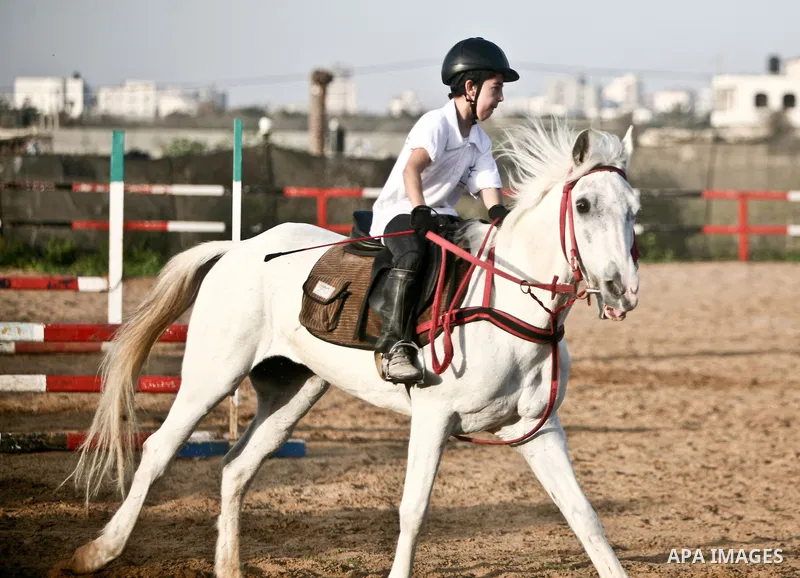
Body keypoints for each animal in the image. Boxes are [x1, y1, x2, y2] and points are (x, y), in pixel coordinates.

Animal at [67, 118, 641, 578]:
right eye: (583, 205)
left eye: (634, 210)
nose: (622, 291)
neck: (507, 303)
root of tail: (238, 249)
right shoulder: (433, 418)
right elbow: (413, 511)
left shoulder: (536, 430)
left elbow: (583, 514)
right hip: (212, 377)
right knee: (159, 450)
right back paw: (98, 551)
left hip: (291, 393)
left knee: (235, 467)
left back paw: (227, 566)